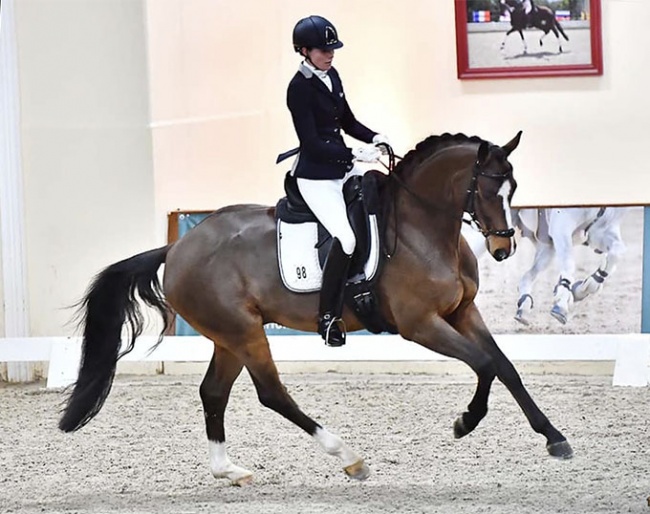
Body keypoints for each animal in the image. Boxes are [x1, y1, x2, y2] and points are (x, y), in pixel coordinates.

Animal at [58, 132, 568, 484]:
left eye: (513, 189)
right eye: (485, 190)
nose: (502, 249)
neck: (423, 228)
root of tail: (177, 247)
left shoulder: (464, 313)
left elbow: (505, 366)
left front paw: (555, 438)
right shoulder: (421, 324)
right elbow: (484, 364)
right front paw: (465, 422)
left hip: (230, 335)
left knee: (213, 393)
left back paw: (229, 471)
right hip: (243, 332)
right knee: (271, 393)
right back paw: (349, 458)